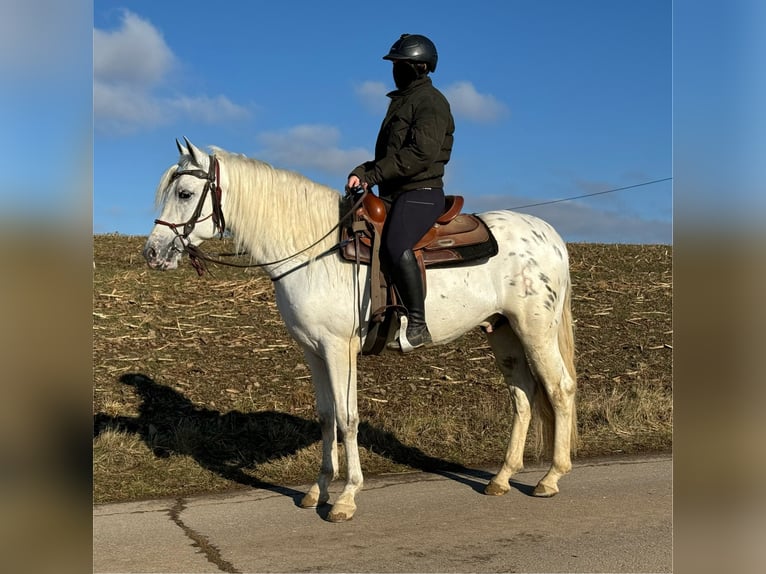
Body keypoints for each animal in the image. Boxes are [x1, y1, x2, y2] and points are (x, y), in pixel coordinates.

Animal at [144, 138, 580, 520]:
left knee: (559, 388)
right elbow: (325, 417)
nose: (152, 252)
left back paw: (551, 477)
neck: (311, 251)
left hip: (535, 331)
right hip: (504, 333)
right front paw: (317, 489)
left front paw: (346, 497)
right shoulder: (313, 351)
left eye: (184, 192)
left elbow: (347, 417)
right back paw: (502, 478)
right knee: (522, 396)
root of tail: (550, 236)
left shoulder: (340, 349)